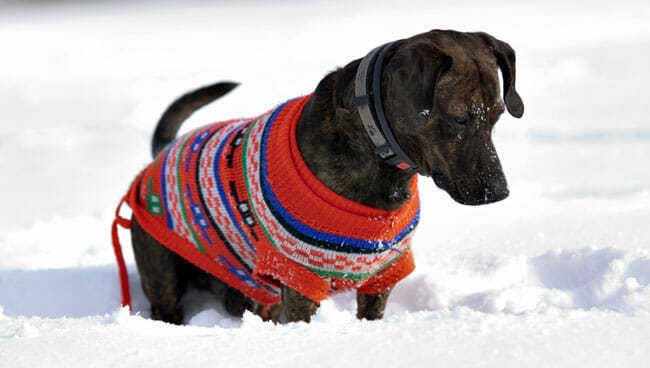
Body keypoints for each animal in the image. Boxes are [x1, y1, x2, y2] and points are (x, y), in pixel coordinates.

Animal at [112, 30, 520, 326]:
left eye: (498, 114)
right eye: (459, 118)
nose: (499, 191)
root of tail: (163, 151)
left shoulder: (382, 274)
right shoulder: (299, 280)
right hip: (161, 271)